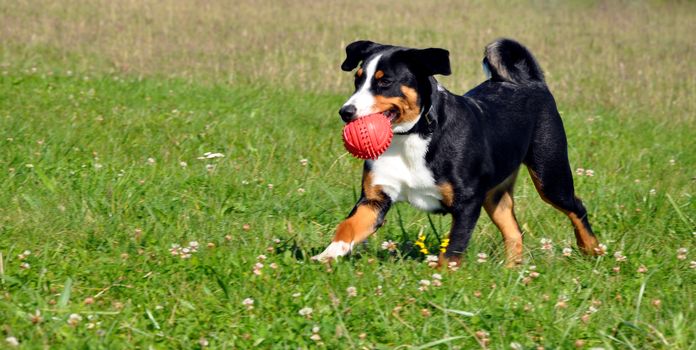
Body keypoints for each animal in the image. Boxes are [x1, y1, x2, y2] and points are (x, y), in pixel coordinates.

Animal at [312, 38, 600, 266]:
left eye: (385, 82)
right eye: (357, 79)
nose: (346, 112)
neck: (411, 137)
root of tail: (532, 82)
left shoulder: (467, 201)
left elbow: (453, 249)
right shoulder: (374, 199)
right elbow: (347, 227)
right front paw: (327, 256)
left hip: (550, 176)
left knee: (577, 208)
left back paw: (592, 250)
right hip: (495, 196)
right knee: (514, 231)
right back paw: (512, 271)